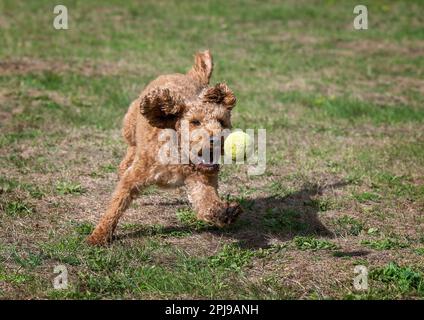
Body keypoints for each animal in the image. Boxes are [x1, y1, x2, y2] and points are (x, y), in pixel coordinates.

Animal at [87, 50, 242, 245]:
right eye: (195, 122)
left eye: (222, 122)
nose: (218, 139)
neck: (179, 156)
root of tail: (189, 76)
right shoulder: (137, 174)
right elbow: (117, 203)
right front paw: (98, 236)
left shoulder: (201, 179)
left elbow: (205, 201)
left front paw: (225, 212)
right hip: (130, 127)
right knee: (129, 153)